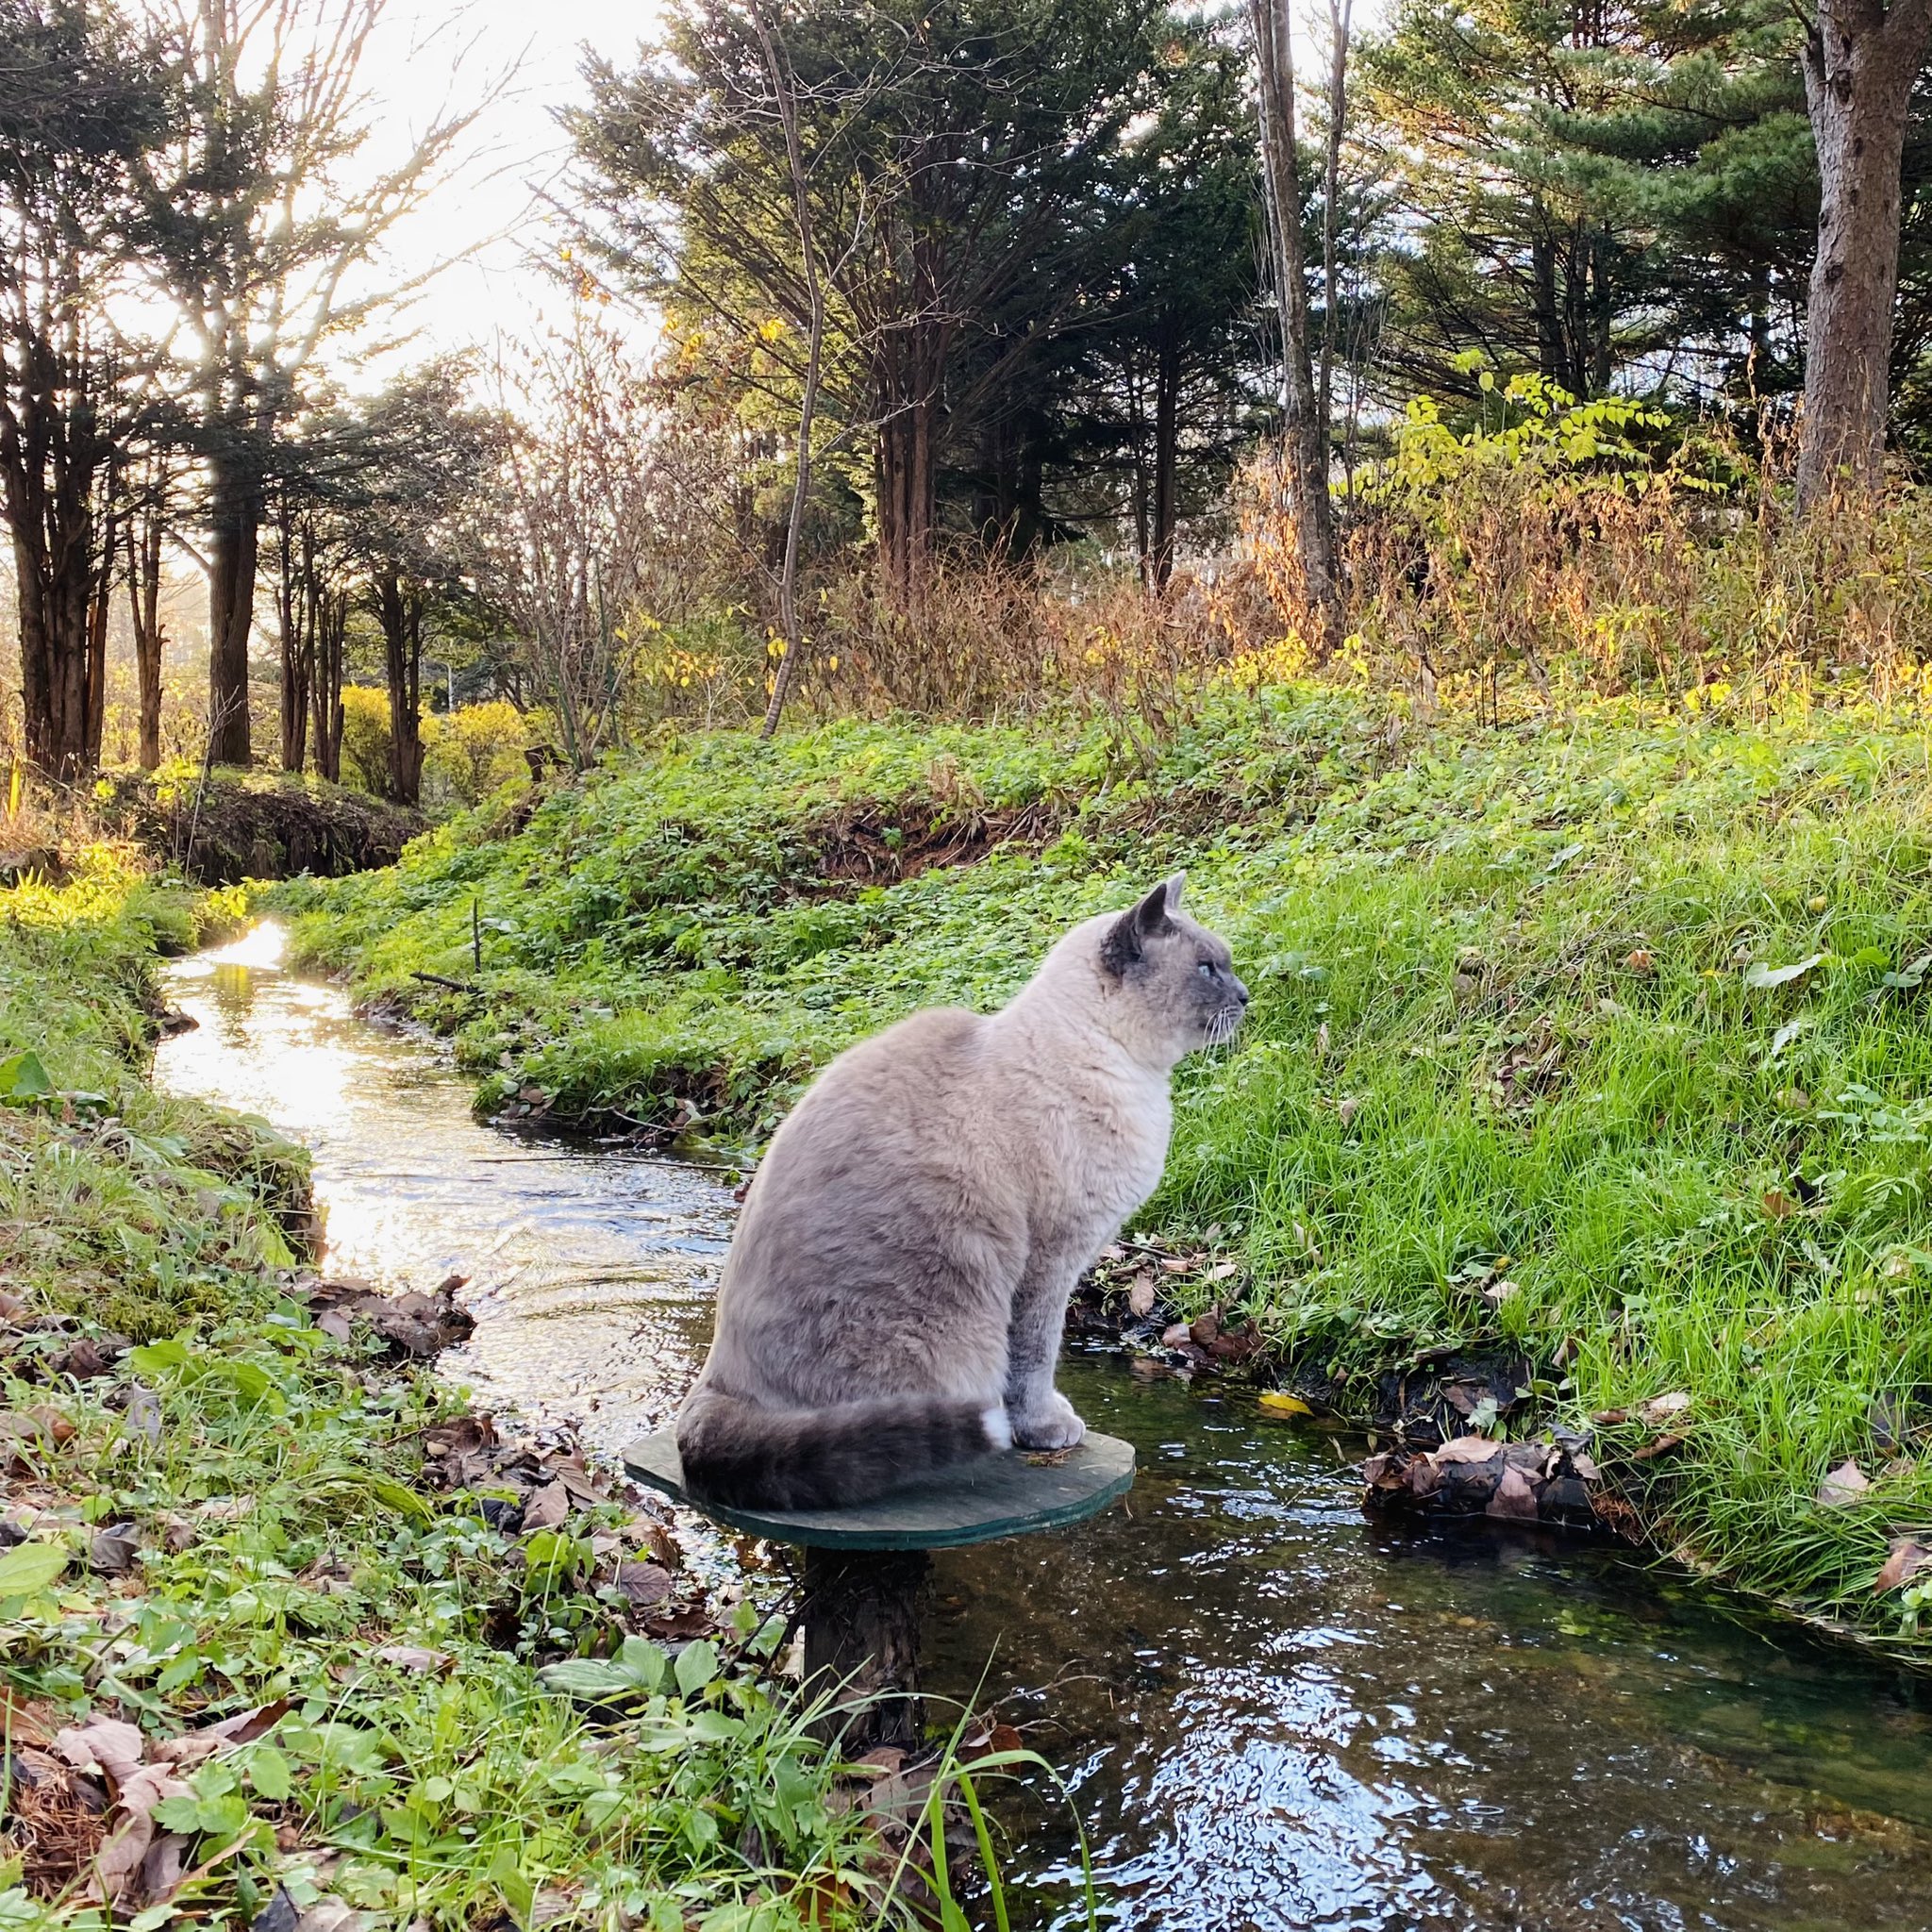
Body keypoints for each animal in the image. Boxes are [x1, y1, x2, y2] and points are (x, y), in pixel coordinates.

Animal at [679, 876, 1252, 1507]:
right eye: (1207, 969)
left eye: (1223, 964)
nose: (1247, 996)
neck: (1126, 1073)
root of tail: (712, 1384)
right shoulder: (1051, 1261)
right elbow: (1034, 1356)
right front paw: (1046, 1428)